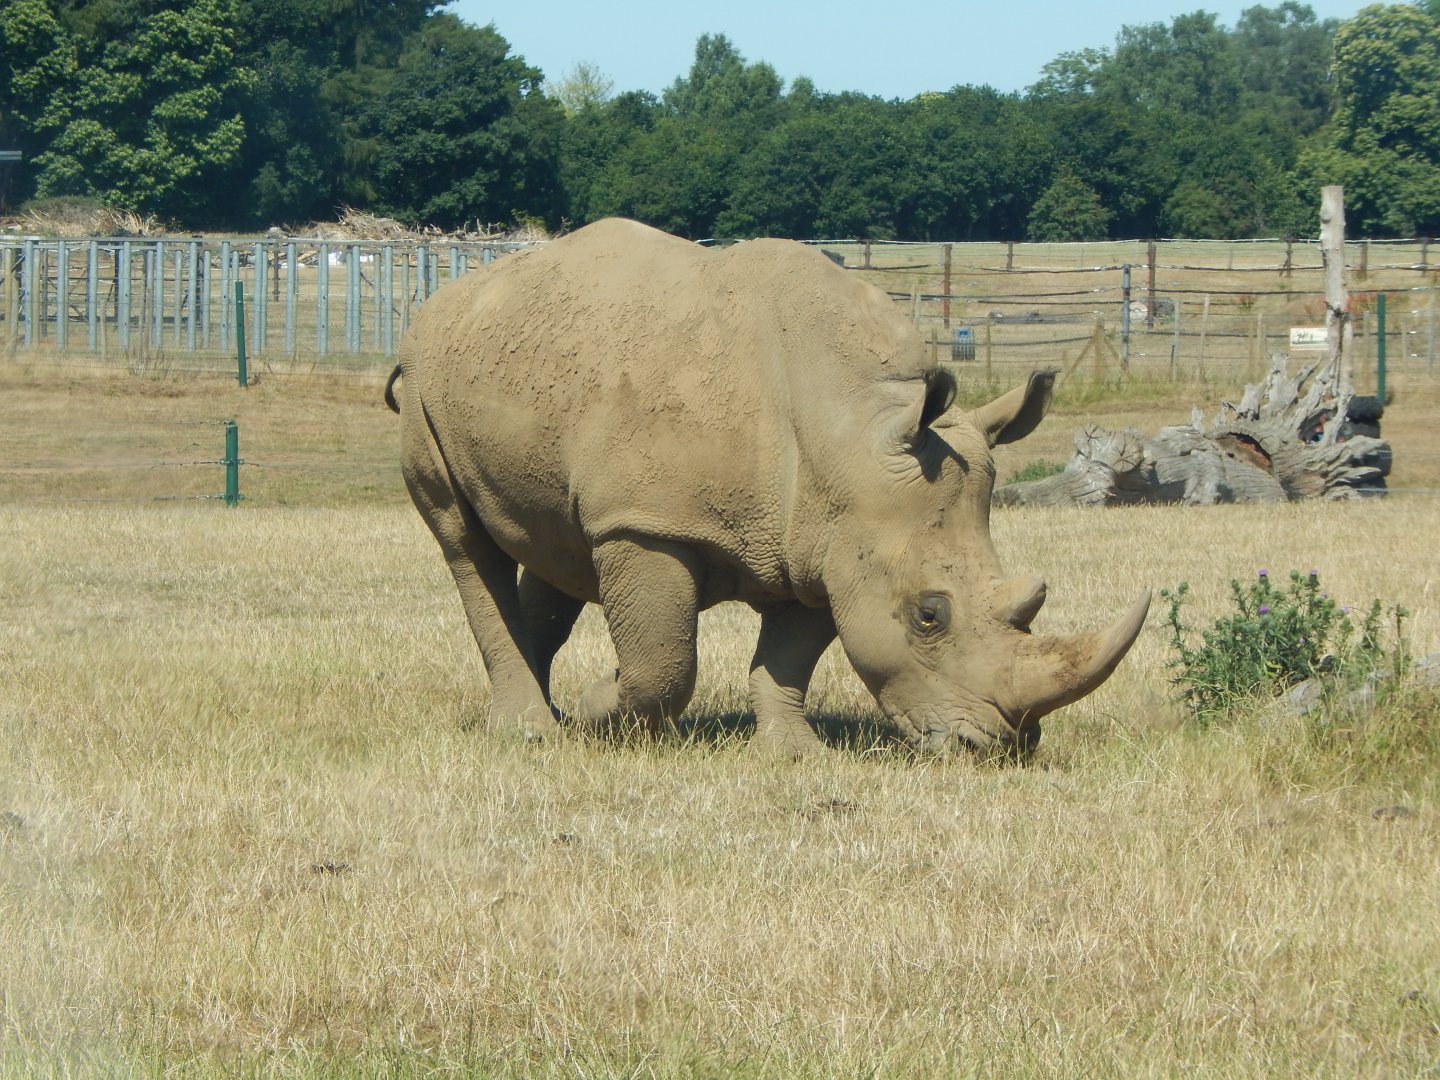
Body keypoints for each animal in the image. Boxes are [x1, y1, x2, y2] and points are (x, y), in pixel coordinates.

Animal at [388, 218, 1149, 756]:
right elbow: (663, 663)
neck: (852, 426)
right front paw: (600, 714)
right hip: (423, 383)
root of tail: (444, 303)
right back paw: (530, 729)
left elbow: (789, 658)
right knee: (465, 542)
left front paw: (794, 754)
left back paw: (537, 712)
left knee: (559, 545)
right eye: (929, 615)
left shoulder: (826, 540)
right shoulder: (649, 523)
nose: (998, 746)